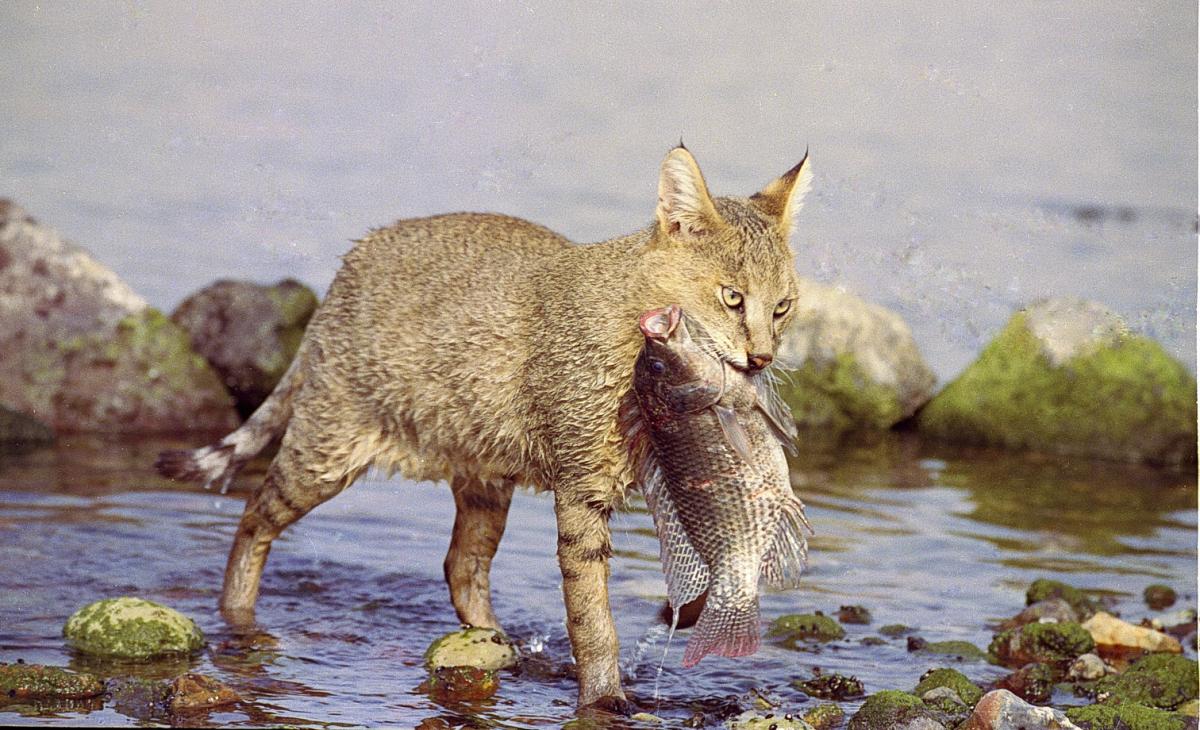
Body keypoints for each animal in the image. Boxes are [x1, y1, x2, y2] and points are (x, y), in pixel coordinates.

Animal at [154, 145, 811, 710]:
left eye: (783, 308)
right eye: (731, 298)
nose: (761, 358)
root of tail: (351, 262)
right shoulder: (582, 487)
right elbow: (591, 614)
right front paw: (604, 697)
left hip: (483, 475)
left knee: (460, 567)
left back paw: (501, 646)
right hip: (326, 449)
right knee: (253, 517)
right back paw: (238, 615)